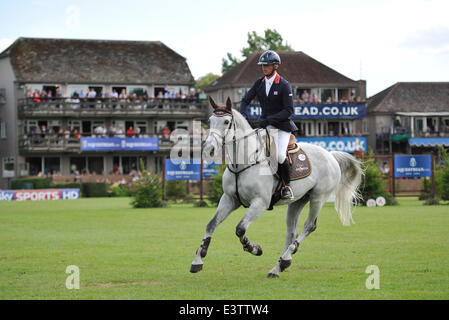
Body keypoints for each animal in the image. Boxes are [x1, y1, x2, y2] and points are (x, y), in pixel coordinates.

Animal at [190, 97, 364, 278]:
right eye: (210, 121)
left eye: (226, 121)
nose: (208, 148)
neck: (242, 163)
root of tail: (330, 154)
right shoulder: (229, 199)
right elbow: (211, 224)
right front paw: (197, 260)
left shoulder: (260, 202)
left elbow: (240, 229)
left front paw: (254, 248)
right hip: (298, 201)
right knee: (291, 231)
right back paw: (279, 266)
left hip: (318, 198)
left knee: (309, 226)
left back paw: (286, 257)